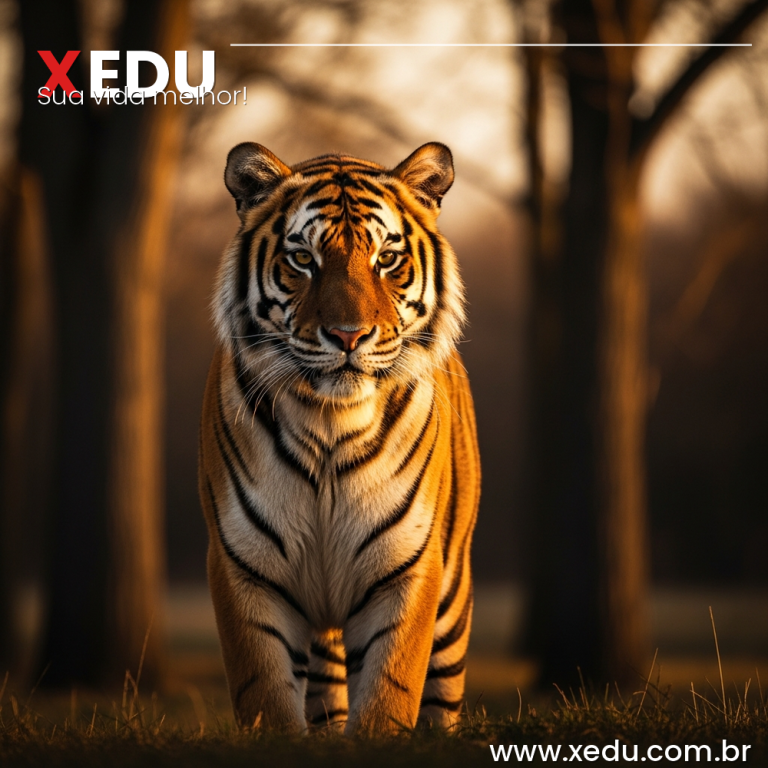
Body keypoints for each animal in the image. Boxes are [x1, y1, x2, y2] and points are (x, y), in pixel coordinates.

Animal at [198, 140, 480, 735]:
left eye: (387, 259)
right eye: (304, 259)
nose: (349, 336)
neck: (330, 421)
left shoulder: (407, 567)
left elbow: (389, 694)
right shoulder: (244, 566)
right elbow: (267, 698)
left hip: (452, 598)